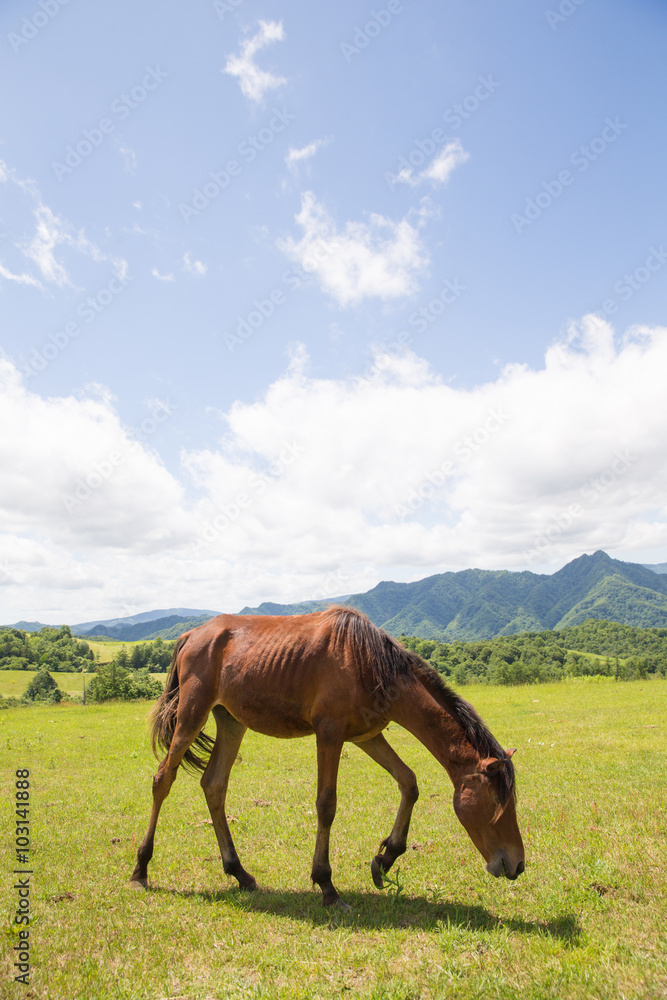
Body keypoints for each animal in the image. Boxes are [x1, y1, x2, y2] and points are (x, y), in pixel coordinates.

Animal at [130, 605, 524, 908]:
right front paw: (327, 885)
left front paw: (384, 860)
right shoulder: (330, 734)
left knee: (213, 785)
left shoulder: (367, 736)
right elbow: (326, 805)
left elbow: (408, 783)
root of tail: (192, 635)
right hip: (191, 715)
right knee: (162, 780)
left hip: (231, 721)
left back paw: (239, 873)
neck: (367, 661)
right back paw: (140, 870)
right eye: (498, 806)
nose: (517, 865)